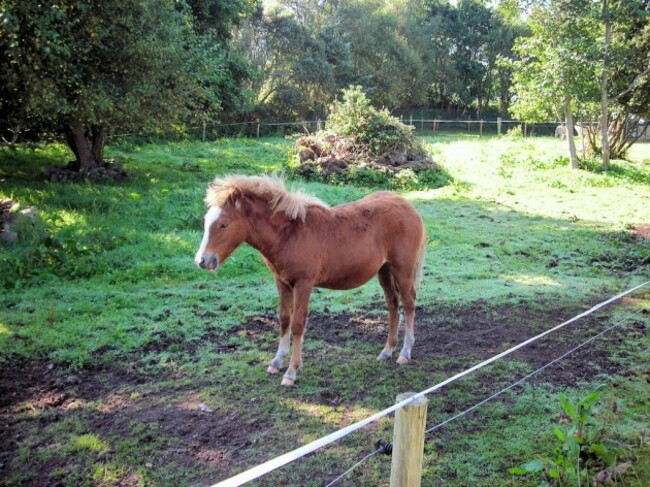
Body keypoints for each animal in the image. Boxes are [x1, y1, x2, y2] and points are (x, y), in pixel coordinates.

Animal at [192, 174, 426, 386]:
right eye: (206, 221)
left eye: (224, 224)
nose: (201, 260)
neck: (289, 234)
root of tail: (409, 207)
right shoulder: (282, 282)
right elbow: (284, 319)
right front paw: (276, 362)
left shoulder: (303, 284)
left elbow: (298, 324)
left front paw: (291, 372)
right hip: (384, 270)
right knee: (393, 304)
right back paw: (387, 351)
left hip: (402, 269)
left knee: (409, 303)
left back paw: (404, 352)